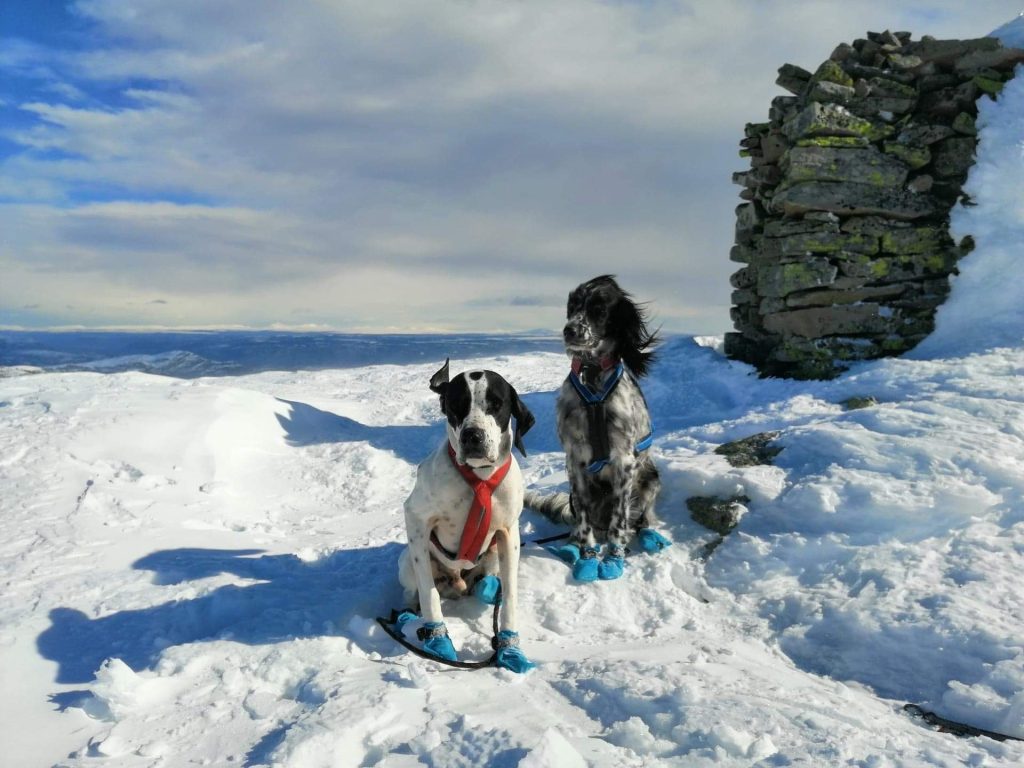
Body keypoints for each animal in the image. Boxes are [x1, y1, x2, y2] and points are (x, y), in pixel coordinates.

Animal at [393, 360, 536, 671]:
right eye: (456, 405)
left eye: (496, 404)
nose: (473, 435)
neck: (479, 478)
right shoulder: (416, 519)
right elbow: (429, 593)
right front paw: (438, 639)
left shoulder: (509, 532)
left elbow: (510, 598)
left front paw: (510, 647)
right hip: (406, 562)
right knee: (413, 592)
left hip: (494, 551)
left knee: (487, 580)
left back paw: (487, 586)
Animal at [524, 276, 667, 581]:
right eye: (572, 306)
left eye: (599, 310)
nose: (569, 330)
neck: (592, 376)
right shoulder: (574, 461)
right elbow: (583, 520)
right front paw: (587, 556)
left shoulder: (624, 461)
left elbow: (619, 521)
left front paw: (614, 558)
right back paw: (571, 546)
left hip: (651, 478)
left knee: (641, 519)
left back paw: (646, 536)